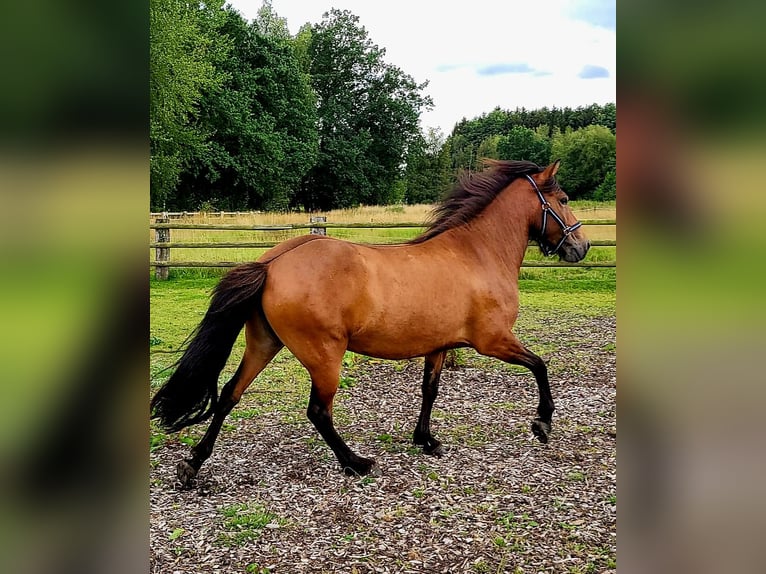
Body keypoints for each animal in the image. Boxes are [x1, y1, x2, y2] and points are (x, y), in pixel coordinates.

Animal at [152, 161, 592, 486]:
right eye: (564, 199)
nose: (581, 246)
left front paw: (426, 440)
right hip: (324, 356)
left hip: (264, 343)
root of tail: (273, 262)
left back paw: (192, 464)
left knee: (229, 394)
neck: (477, 253)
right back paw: (356, 462)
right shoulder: (494, 340)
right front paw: (542, 423)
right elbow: (540, 365)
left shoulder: (438, 346)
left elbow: (429, 392)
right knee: (318, 411)